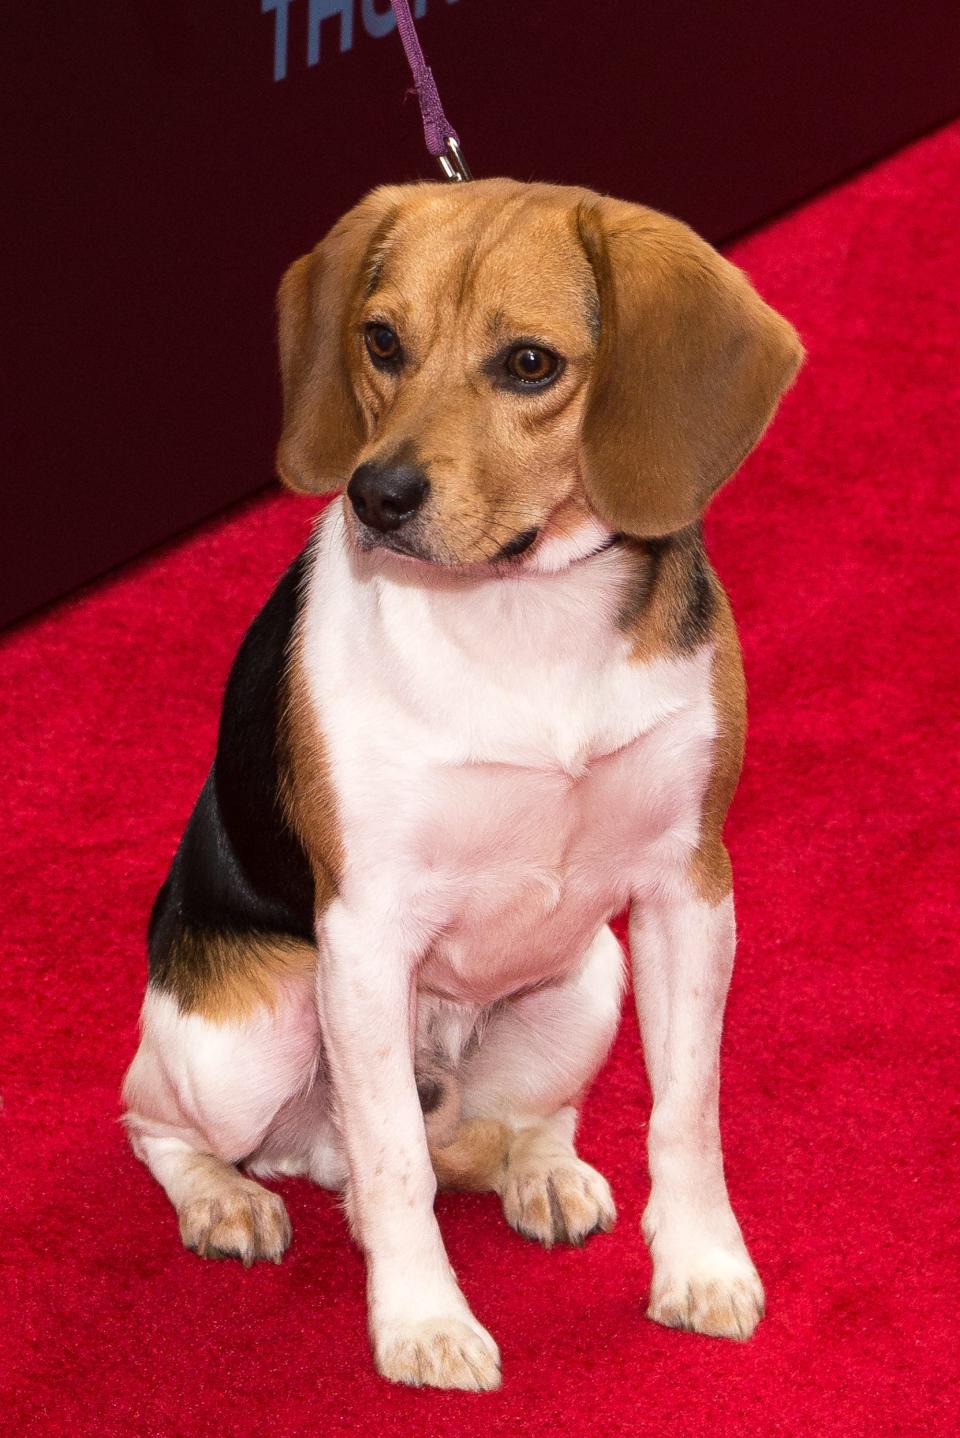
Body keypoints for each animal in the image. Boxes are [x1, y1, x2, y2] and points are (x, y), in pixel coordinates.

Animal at [123, 173, 804, 1386]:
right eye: (381, 341)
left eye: (530, 364)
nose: (375, 495)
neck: (520, 605)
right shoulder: (363, 934)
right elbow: (394, 1161)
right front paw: (422, 1325)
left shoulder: (689, 892)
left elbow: (686, 1111)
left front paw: (699, 1266)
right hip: (254, 1028)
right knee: (173, 1124)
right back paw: (224, 1199)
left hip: (586, 984)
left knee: (494, 1133)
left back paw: (538, 1168)